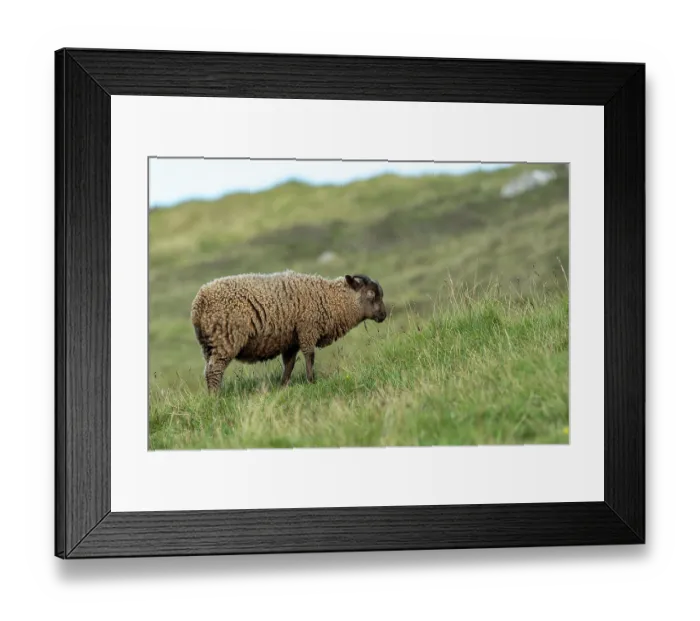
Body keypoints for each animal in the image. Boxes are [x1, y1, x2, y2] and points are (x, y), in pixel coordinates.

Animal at [190, 270, 387, 393]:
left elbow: (289, 365)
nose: (384, 315)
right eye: (371, 294)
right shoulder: (307, 329)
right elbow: (309, 356)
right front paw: (312, 381)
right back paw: (216, 398)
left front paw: (282, 387)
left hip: (208, 346)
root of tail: (199, 304)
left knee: (208, 371)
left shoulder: (290, 341)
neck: (331, 299)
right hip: (225, 340)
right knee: (214, 371)